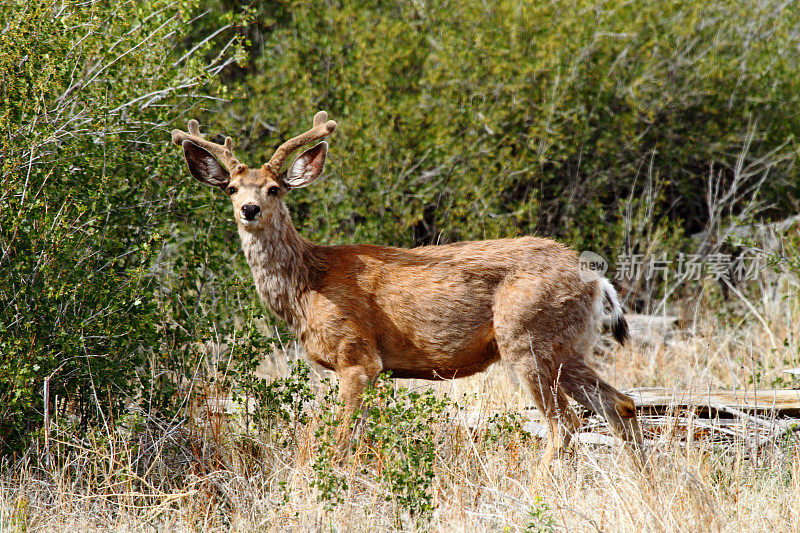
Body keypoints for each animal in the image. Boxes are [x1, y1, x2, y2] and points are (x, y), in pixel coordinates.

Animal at [172, 110, 648, 468]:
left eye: (274, 188)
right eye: (232, 188)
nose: (250, 209)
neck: (307, 285)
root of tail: (596, 280)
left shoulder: (358, 356)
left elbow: (337, 442)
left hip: (527, 335)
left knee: (564, 424)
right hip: (567, 344)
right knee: (621, 405)